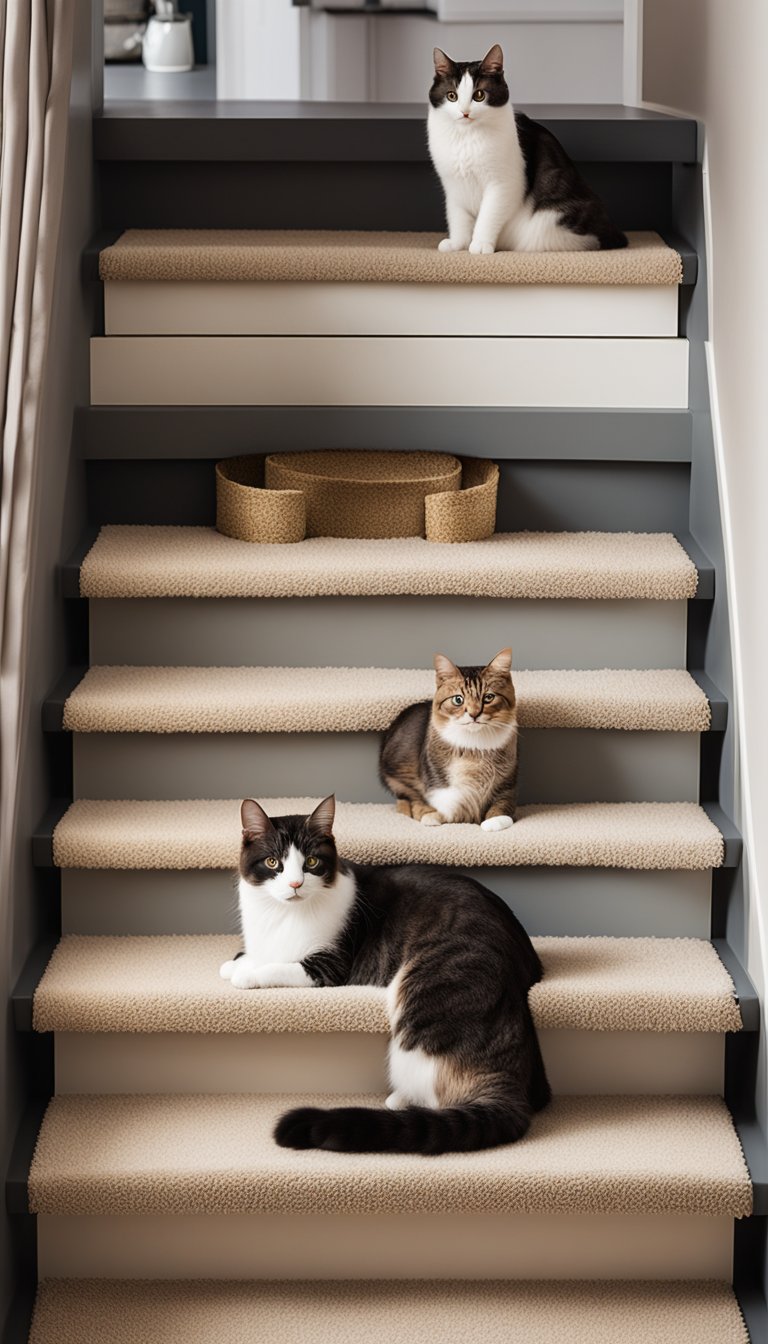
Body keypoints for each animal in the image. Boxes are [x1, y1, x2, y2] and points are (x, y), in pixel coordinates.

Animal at [219, 795, 548, 1155]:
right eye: (273, 862)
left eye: (312, 862)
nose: (295, 884)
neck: (282, 915)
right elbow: (249, 956)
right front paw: (236, 963)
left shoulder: (329, 966)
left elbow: (278, 965)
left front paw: (246, 975)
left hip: (420, 1002)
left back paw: (400, 1101)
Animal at [381, 642, 519, 822]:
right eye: (458, 699)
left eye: (488, 697)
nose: (474, 714)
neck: (474, 745)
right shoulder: (437, 776)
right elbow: (450, 799)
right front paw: (438, 816)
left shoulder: (507, 782)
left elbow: (501, 804)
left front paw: (494, 821)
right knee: (408, 796)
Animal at [430, 44, 626, 254]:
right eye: (452, 96)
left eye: (479, 95)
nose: (465, 112)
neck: (466, 137)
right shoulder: (453, 185)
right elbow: (457, 217)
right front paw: (457, 243)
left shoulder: (503, 185)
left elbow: (488, 216)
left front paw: (481, 244)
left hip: (546, 224)